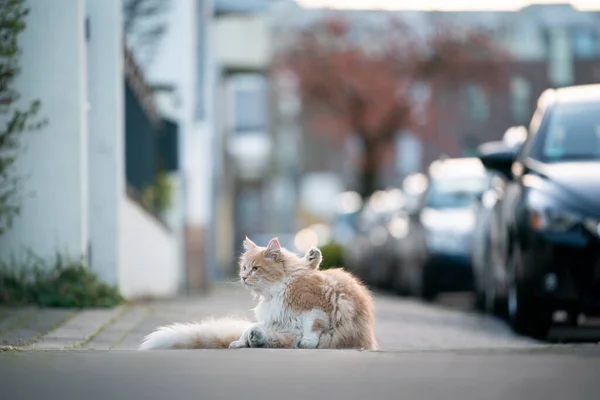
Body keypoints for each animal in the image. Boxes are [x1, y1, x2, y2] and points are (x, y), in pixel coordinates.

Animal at [138, 238, 378, 350]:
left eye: (255, 269)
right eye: (244, 268)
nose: (244, 277)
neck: (274, 293)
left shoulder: (317, 306)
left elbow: (313, 325)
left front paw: (309, 342)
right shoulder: (280, 323)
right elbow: (251, 331)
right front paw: (241, 341)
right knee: (260, 334)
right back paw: (251, 339)